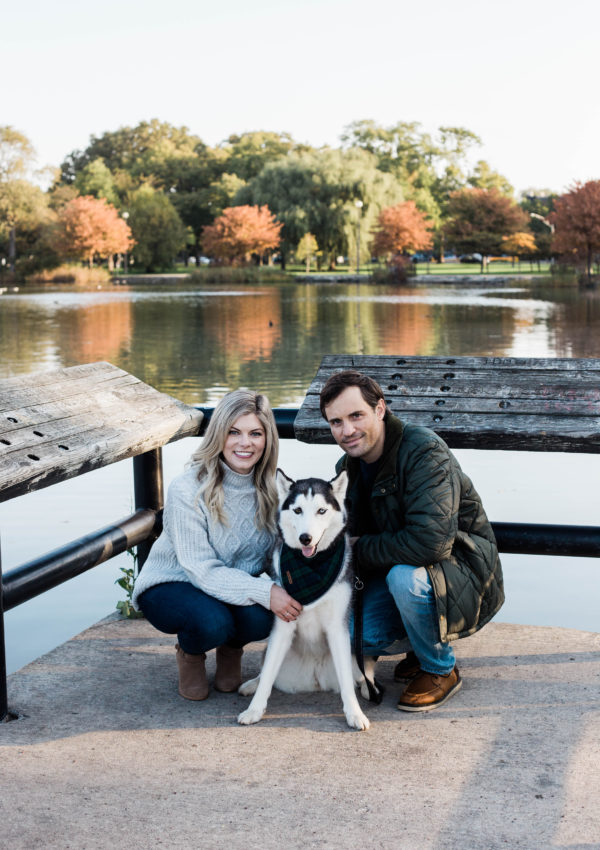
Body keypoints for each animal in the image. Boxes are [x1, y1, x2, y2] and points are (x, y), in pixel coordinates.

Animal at [236, 468, 372, 724]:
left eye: (321, 511)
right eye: (298, 510)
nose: (305, 538)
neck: (312, 566)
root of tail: (315, 677)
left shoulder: (337, 627)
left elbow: (347, 684)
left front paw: (354, 713)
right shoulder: (283, 623)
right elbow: (267, 674)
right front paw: (254, 710)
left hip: (354, 657)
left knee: (358, 676)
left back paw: (369, 687)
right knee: (266, 670)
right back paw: (251, 684)